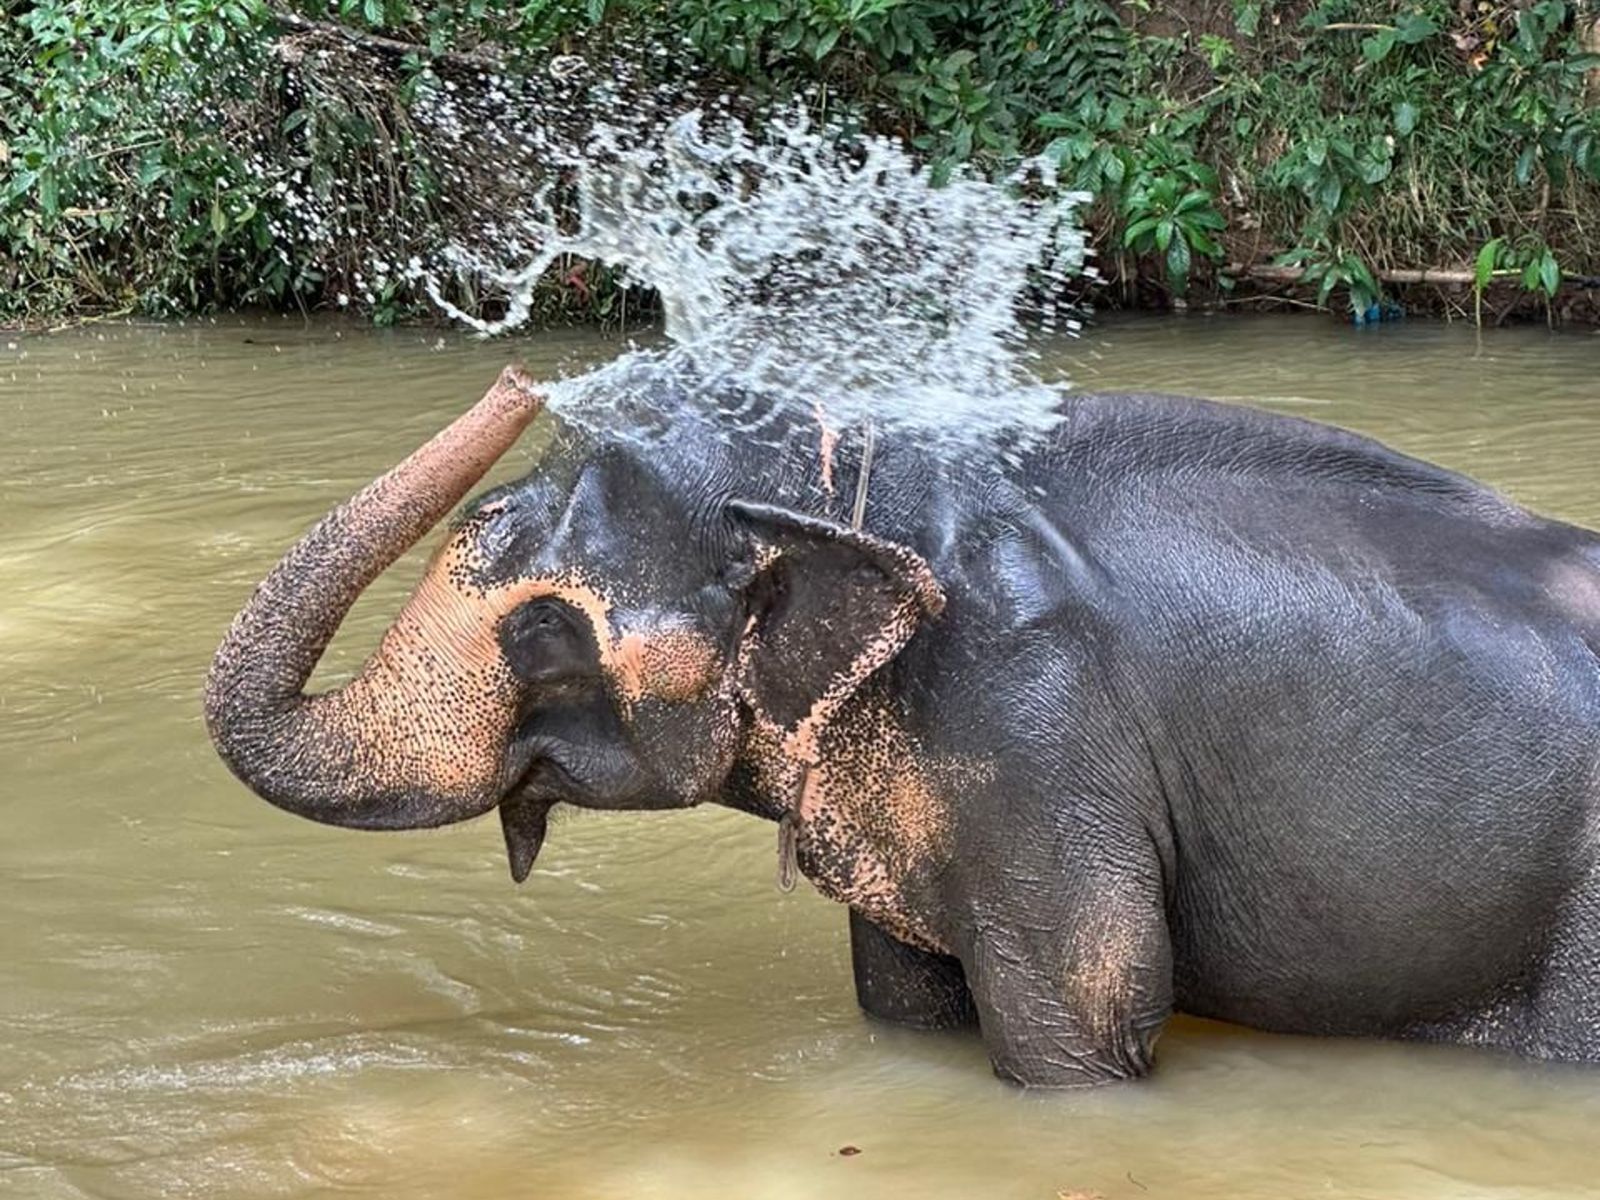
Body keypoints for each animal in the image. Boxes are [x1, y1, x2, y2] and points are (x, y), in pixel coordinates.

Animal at [206, 361, 1600, 1088]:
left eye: (544, 628)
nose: (519, 373)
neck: (858, 475)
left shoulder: (1039, 735)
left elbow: (1090, 1010)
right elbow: (901, 1000)